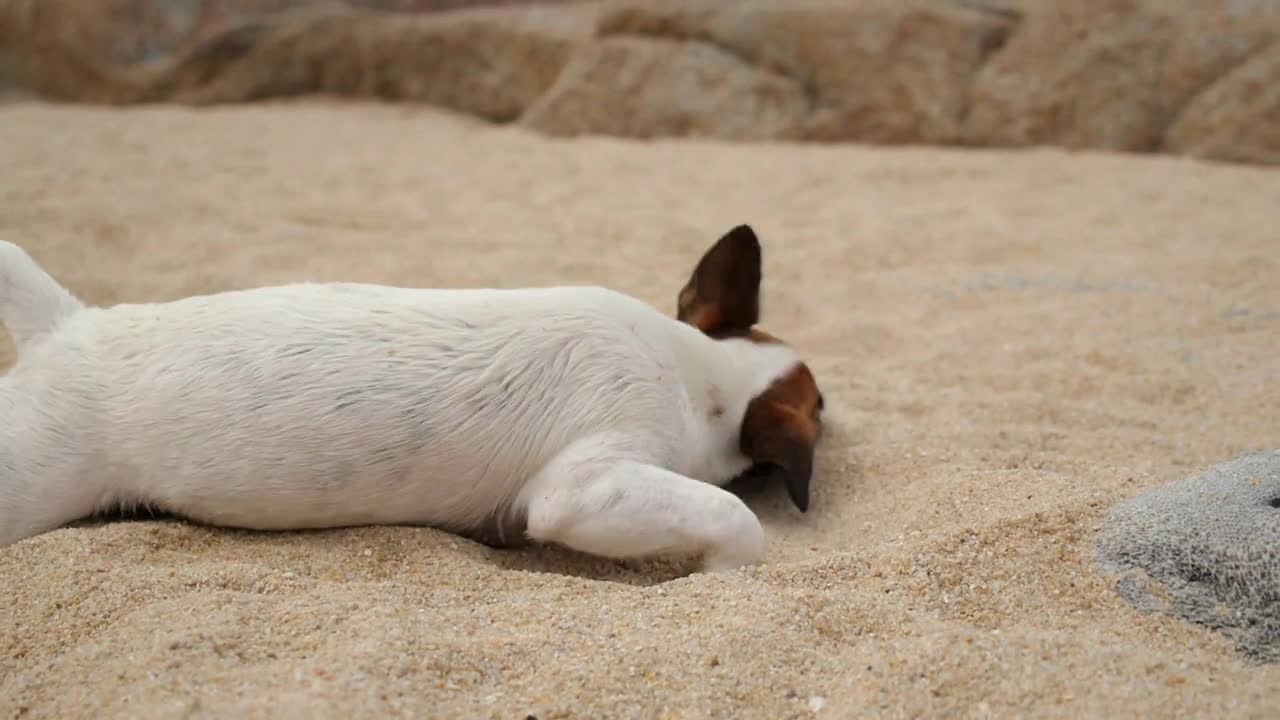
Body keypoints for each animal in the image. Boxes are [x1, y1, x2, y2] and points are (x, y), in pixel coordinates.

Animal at [0, 225, 819, 571]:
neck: (694, 367)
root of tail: (68, 324)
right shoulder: (583, 487)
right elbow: (737, 520)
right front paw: (719, 572)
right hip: (28, 479)